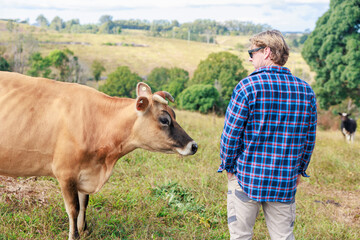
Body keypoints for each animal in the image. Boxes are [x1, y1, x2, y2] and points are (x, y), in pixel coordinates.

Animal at [0, 71, 198, 238]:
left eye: (174, 115)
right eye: (164, 119)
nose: (194, 145)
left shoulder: (84, 172)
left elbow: (84, 203)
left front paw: (84, 229)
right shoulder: (66, 173)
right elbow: (74, 208)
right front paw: (74, 235)